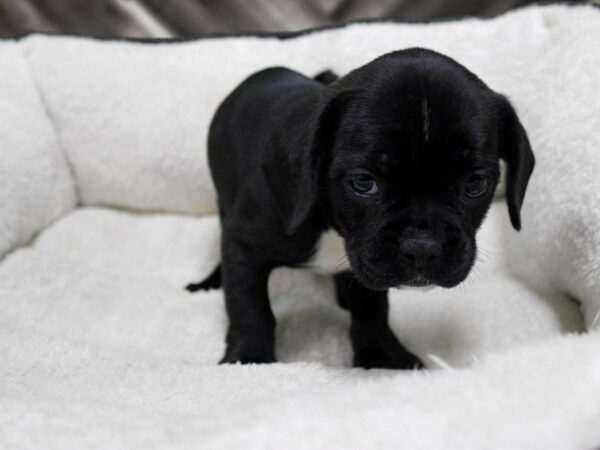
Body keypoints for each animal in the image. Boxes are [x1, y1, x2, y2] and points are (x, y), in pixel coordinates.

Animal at [188, 49, 536, 370]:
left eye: (475, 184)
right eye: (363, 182)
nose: (423, 247)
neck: (333, 226)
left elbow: (371, 306)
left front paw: (381, 354)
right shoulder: (244, 245)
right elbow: (249, 307)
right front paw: (249, 360)